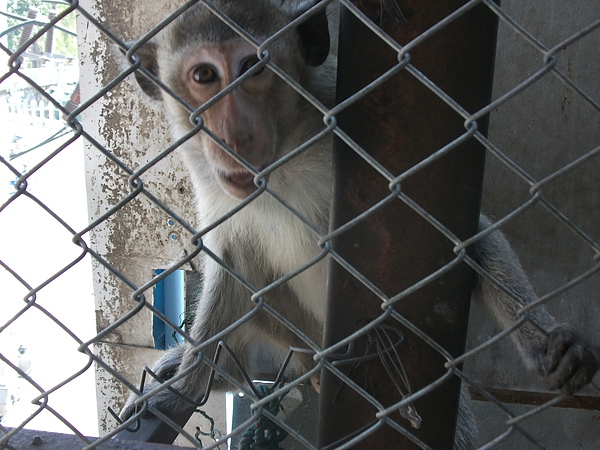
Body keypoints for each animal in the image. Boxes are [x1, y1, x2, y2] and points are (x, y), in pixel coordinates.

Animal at [117, 0, 600, 444]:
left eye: (253, 67)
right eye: (204, 76)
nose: (235, 133)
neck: (285, 157)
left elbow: (468, 239)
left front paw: (545, 343)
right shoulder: (207, 172)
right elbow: (231, 263)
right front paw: (181, 392)